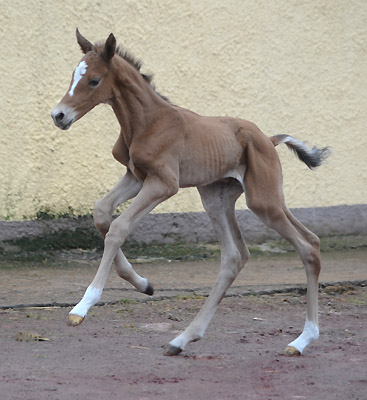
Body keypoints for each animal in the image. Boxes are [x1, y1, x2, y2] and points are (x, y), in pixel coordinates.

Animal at [51, 31, 330, 356]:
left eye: (94, 80)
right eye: (73, 75)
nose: (59, 115)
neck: (147, 121)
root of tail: (269, 139)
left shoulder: (164, 183)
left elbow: (118, 227)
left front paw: (83, 306)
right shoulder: (136, 177)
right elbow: (101, 212)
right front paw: (143, 284)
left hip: (264, 200)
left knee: (307, 245)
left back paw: (302, 340)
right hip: (217, 197)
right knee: (237, 256)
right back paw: (182, 339)